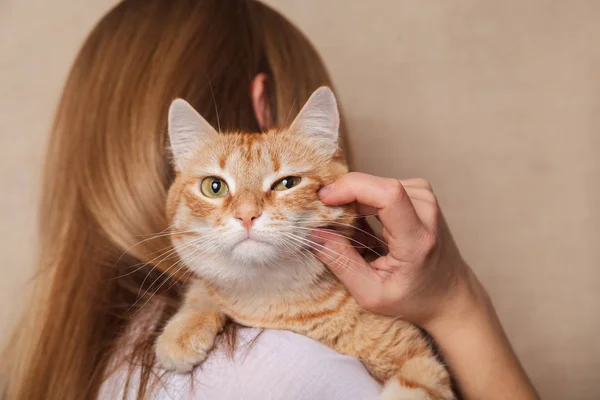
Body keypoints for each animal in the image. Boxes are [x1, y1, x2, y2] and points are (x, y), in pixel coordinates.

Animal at [157, 88, 452, 400]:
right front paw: (182, 329)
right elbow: (205, 287)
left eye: (287, 183)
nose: (247, 215)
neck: (275, 302)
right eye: (214, 186)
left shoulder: (423, 366)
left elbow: (417, 387)